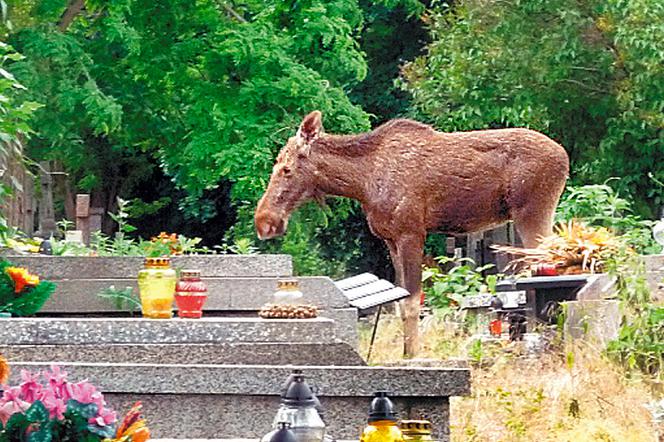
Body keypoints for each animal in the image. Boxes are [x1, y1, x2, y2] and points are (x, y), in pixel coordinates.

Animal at [256, 110, 568, 356]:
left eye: (286, 169)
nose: (264, 221)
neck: (362, 183)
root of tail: (565, 158)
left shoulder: (411, 233)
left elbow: (411, 303)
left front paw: (413, 355)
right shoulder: (391, 240)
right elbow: (400, 302)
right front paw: (406, 352)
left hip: (533, 212)